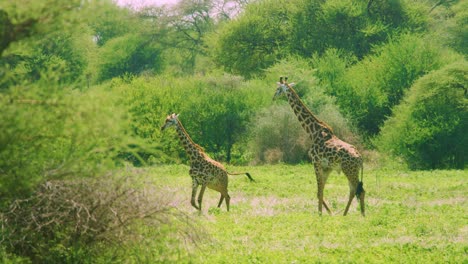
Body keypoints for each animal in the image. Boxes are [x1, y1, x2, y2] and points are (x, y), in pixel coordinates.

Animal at [274, 75, 366, 216]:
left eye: (278, 89)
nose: (273, 97)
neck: (312, 131)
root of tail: (360, 159)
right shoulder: (326, 167)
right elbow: (320, 191)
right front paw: (329, 213)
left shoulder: (315, 162)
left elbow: (319, 191)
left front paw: (320, 214)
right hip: (351, 170)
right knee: (354, 190)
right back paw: (345, 214)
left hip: (349, 170)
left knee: (359, 190)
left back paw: (362, 215)